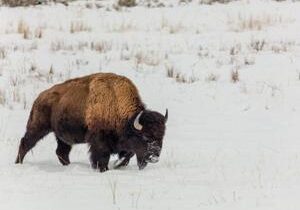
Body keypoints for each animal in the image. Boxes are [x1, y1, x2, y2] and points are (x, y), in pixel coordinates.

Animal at [14, 73, 166, 171]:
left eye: (162, 137)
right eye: (146, 136)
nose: (154, 157)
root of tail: (40, 97)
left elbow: (129, 153)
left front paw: (118, 164)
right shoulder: (99, 141)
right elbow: (101, 156)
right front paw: (103, 169)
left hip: (62, 137)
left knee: (61, 152)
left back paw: (69, 166)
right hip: (38, 128)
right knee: (25, 143)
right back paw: (18, 163)